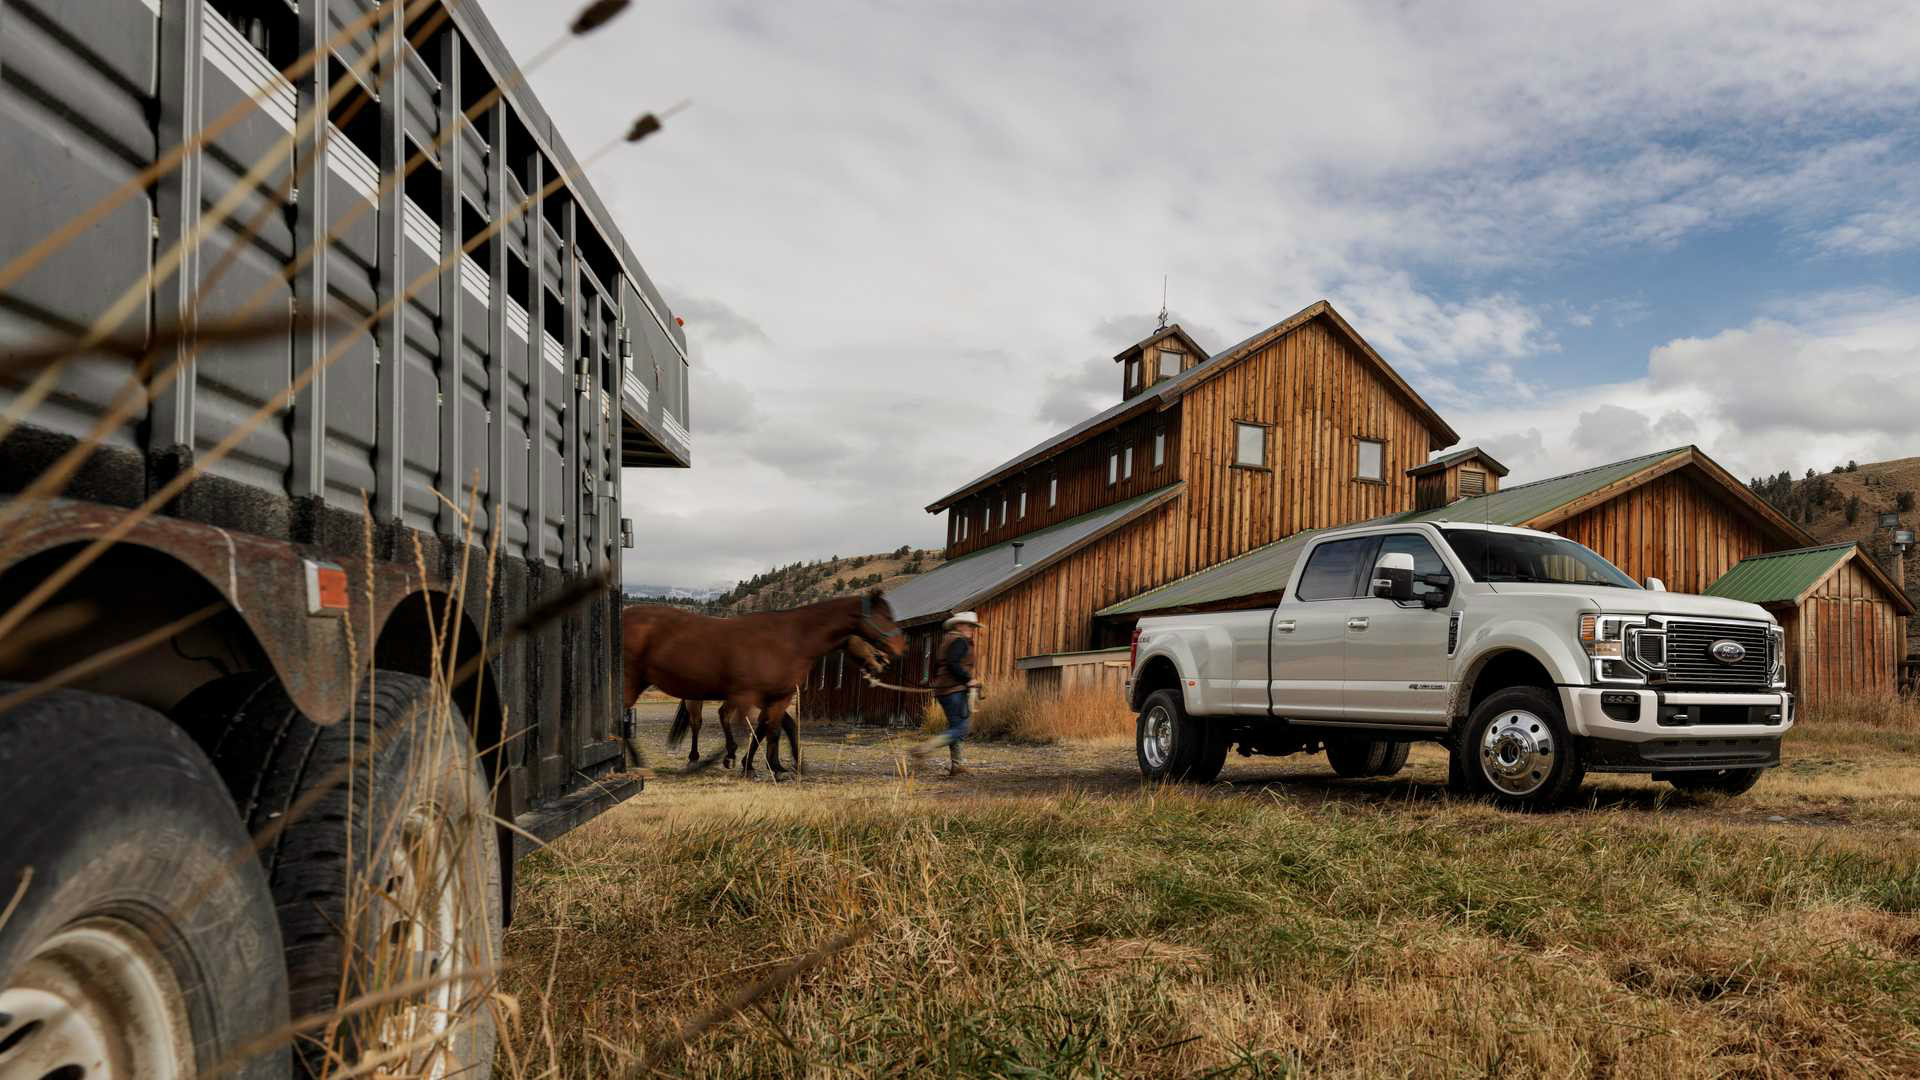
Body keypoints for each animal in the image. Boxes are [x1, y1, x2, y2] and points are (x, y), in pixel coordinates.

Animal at [622, 588, 906, 772]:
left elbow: (773, 728)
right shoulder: (750, 695)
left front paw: (775, 766)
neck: (791, 639)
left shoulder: (778, 697)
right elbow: (747, 726)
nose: (897, 650)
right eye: (885, 616)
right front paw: (741, 761)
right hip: (636, 683)